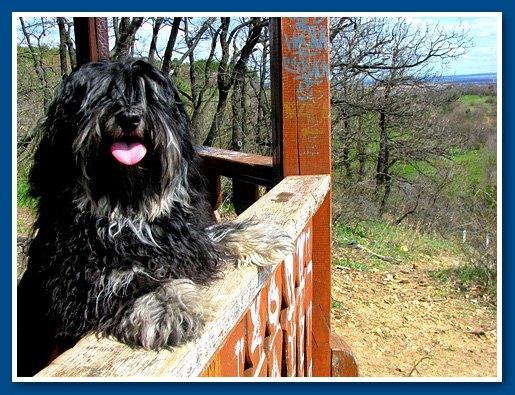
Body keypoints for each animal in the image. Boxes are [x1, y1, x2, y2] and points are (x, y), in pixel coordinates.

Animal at [17, 59, 294, 378]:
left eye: (149, 96)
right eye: (101, 96)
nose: (129, 117)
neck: (129, 210)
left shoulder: (185, 239)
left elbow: (214, 234)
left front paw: (262, 237)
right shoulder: (75, 280)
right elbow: (128, 280)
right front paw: (167, 304)